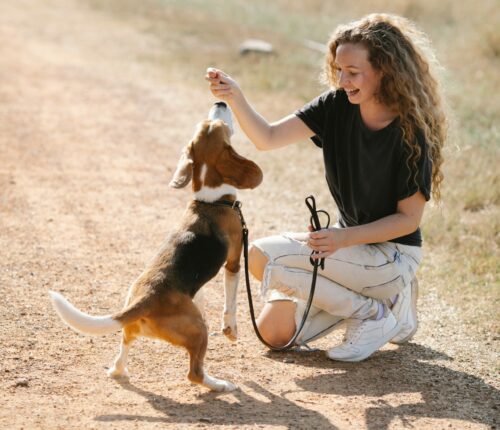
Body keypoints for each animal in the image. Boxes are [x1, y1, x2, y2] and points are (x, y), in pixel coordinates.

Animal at [48, 102, 264, 392]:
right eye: (218, 125)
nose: (220, 103)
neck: (209, 200)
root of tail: (146, 297)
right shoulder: (233, 262)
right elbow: (230, 301)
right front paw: (231, 329)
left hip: (134, 328)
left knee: (124, 346)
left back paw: (118, 370)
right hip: (198, 330)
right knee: (194, 373)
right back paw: (220, 385)